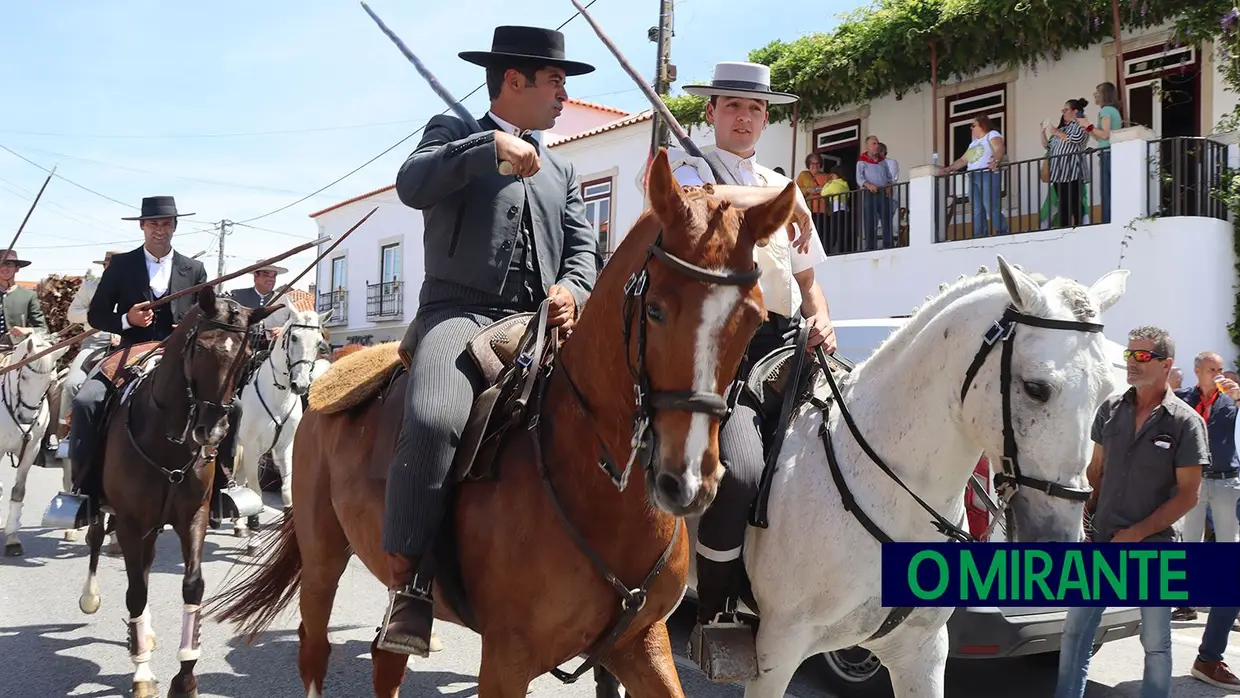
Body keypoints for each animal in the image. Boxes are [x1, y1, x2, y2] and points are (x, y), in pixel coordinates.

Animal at [0, 332, 70, 557]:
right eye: (23, 377)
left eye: (51, 381)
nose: (26, 418)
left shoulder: (31, 449)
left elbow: (18, 491)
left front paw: (13, 539)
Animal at [74, 286, 276, 698]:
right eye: (200, 348)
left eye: (247, 354)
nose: (211, 431)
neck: (168, 438)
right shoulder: (130, 522)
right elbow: (135, 591)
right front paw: (142, 674)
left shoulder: (192, 516)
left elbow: (192, 586)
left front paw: (185, 677)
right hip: (109, 511)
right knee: (96, 541)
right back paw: (94, 600)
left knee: (145, 564)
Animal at [230, 303, 329, 533]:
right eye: (294, 337)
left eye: (318, 342)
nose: (300, 385)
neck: (277, 395)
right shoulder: (252, 448)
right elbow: (256, 490)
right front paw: (254, 526)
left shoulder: (286, 447)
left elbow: (286, 489)